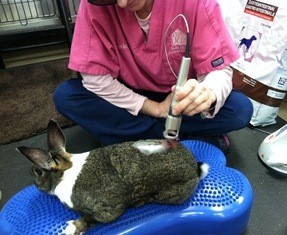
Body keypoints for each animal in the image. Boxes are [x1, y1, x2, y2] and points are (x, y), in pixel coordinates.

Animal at [16, 120, 209, 234]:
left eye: (38, 172)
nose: (35, 184)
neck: (65, 172)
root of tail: (196, 168)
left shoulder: (106, 211)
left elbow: (91, 219)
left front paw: (72, 228)